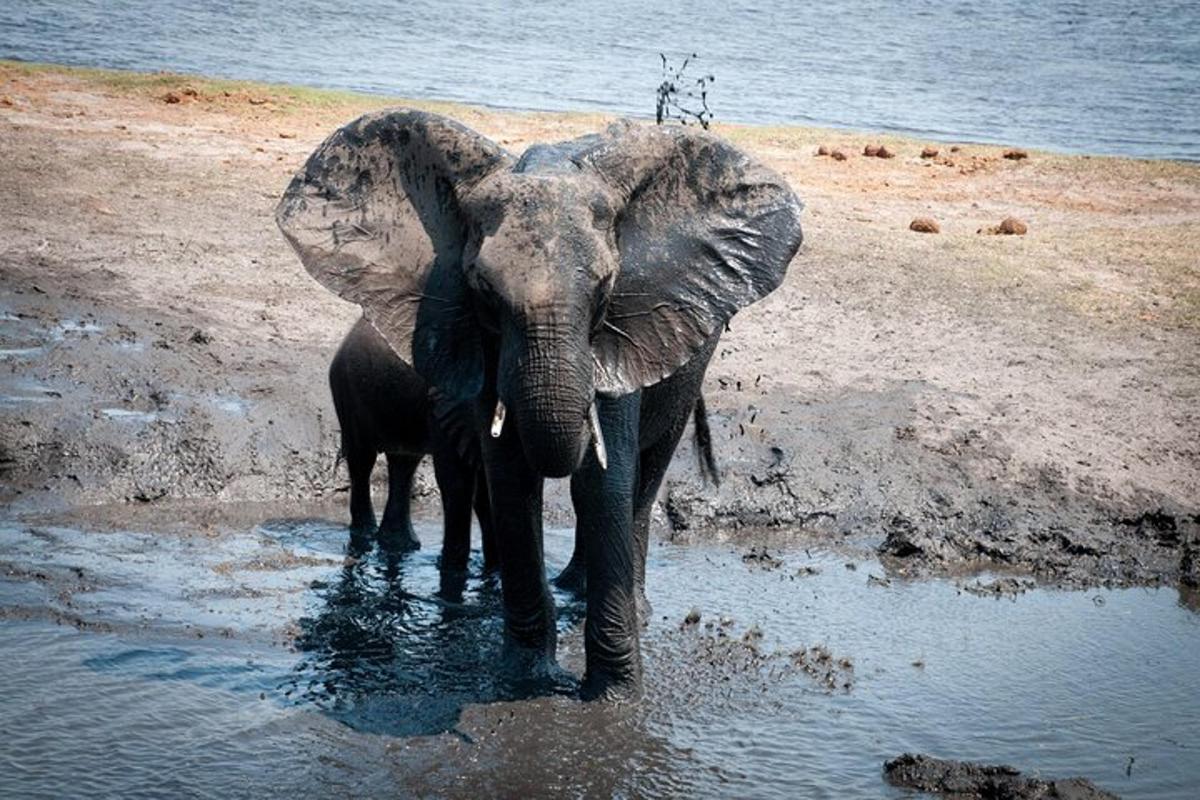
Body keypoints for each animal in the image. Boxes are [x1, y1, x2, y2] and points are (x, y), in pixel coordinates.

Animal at [326, 311, 494, 568]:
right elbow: (458, 477)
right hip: (348, 390)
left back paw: (399, 544)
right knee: (362, 460)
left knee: (403, 463)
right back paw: (366, 536)